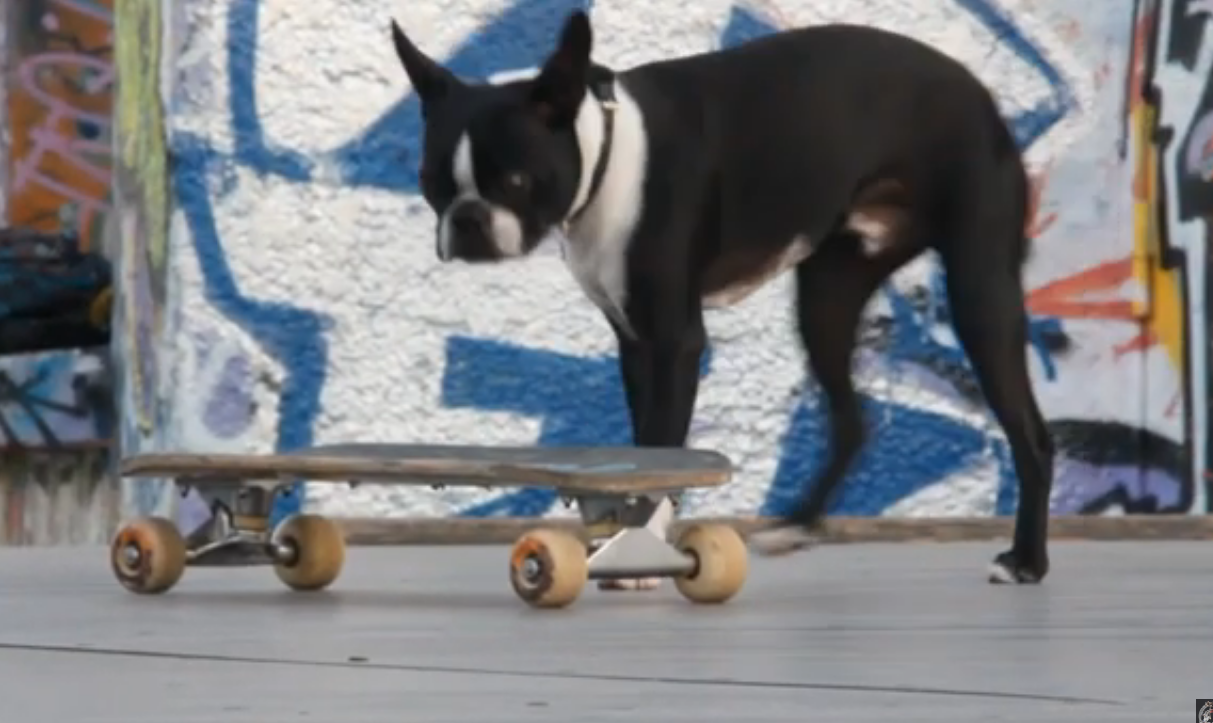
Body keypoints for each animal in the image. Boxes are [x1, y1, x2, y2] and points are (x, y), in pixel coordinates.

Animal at [389, 10, 1055, 587]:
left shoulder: (674, 343)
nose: (468, 220)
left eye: (517, 180)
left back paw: (1026, 560)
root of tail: (982, 94)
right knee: (851, 420)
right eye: (430, 181)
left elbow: (661, 451)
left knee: (1030, 433)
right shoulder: (637, 346)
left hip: (979, 291)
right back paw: (798, 527)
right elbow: (646, 452)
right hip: (827, 295)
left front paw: (640, 559)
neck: (604, 152)